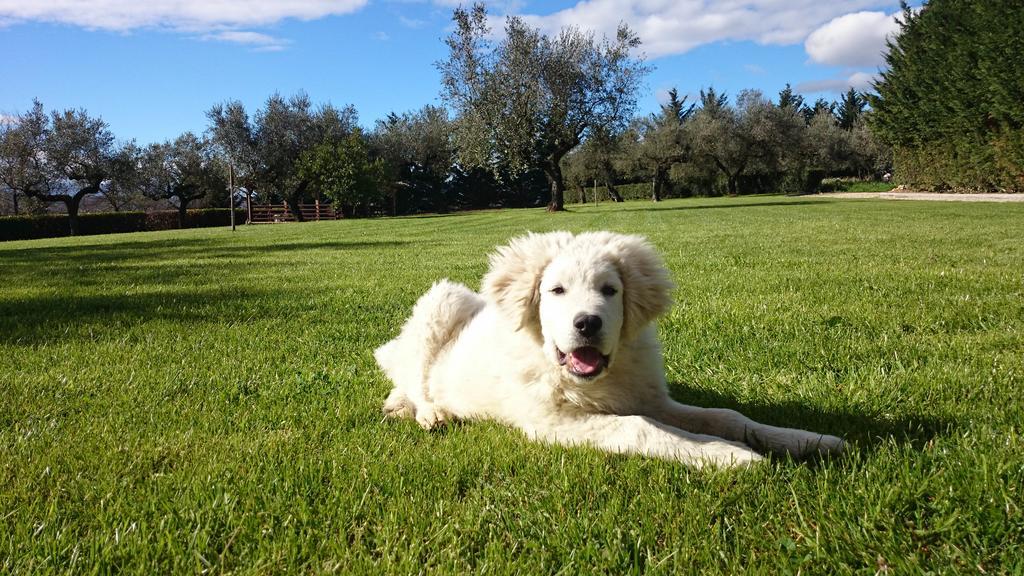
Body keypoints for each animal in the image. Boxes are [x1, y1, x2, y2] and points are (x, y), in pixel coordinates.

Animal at [376, 229, 847, 467]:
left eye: (609, 290)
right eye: (556, 291)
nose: (587, 323)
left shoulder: (650, 397)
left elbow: (726, 415)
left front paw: (808, 440)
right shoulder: (552, 423)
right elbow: (640, 428)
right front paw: (729, 456)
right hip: (441, 302)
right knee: (415, 377)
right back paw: (430, 413)